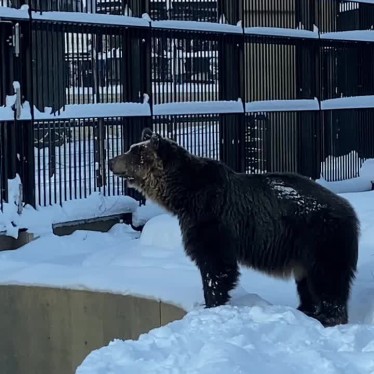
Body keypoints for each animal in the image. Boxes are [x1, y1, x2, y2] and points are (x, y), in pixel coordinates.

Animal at [108, 129, 360, 328]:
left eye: (133, 152)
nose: (110, 160)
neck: (185, 196)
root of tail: (349, 210)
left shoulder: (212, 220)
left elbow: (216, 265)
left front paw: (212, 302)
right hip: (306, 251)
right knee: (308, 283)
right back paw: (306, 310)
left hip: (321, 239)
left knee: (328, 281)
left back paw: (327, 317)